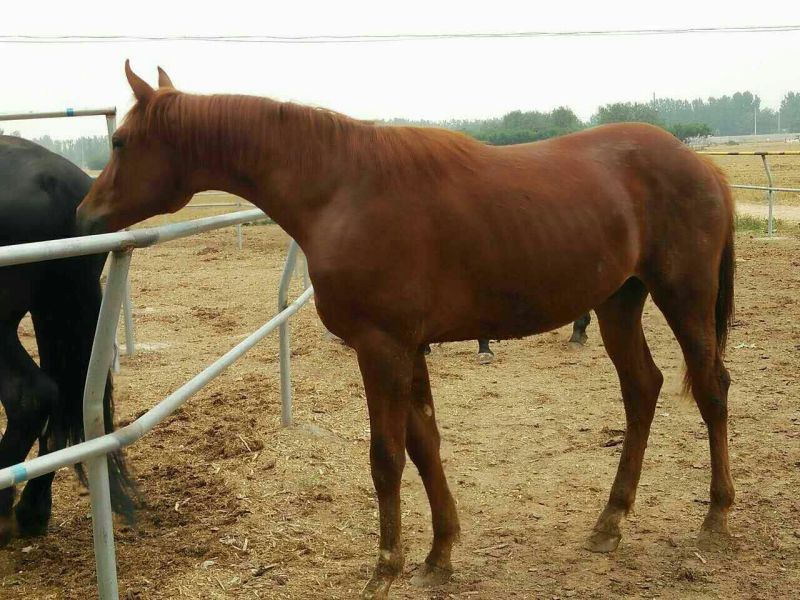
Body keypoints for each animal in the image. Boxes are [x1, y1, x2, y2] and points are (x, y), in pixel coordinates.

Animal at [77, 63, 736, 599]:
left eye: (119, 140)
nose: (84, 216)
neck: (342, 189)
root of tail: (699, 163)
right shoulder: (410, 349)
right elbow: (425, 444)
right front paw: (439, 554)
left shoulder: (382, 348)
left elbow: (386, 456)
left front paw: (385, 567)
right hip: (619, 304)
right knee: (642, 389)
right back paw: (610, 522)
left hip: (684, 300)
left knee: (711, 389)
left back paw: (716, 518)